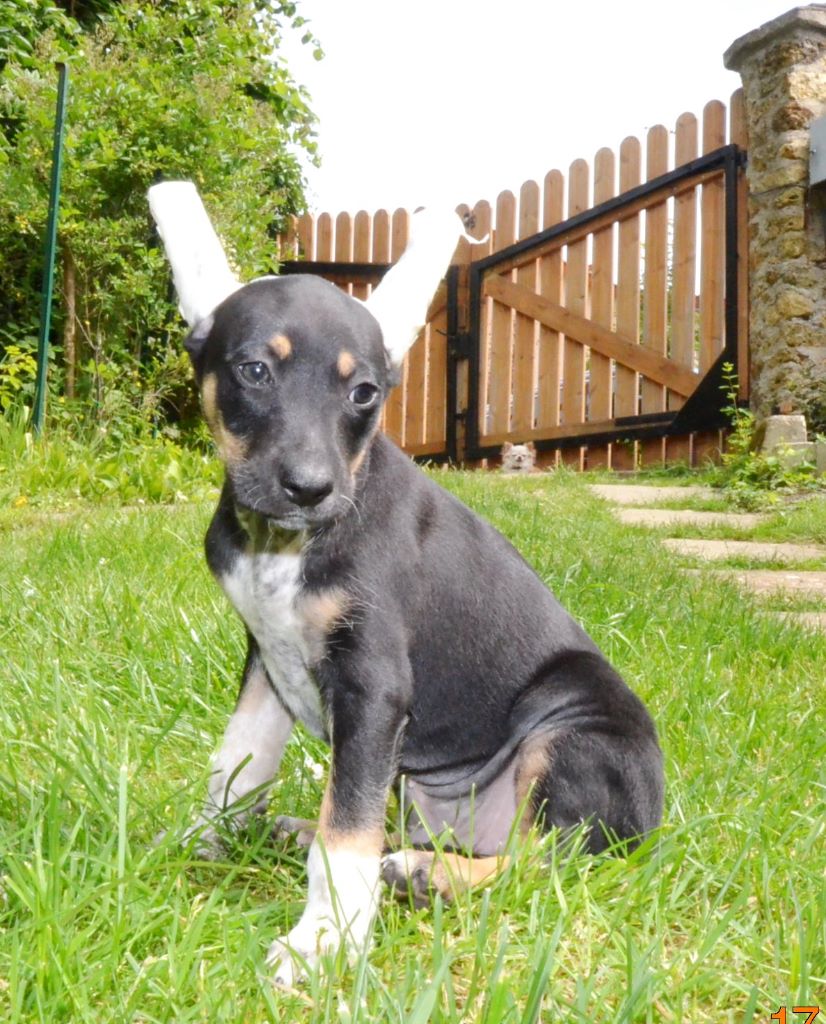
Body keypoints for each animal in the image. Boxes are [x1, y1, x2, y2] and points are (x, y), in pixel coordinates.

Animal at [149, 186, 663, 987]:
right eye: (254, 371)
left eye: (365, 392)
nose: (310, 490)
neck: (285, 546)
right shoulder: (266, 660)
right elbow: (236, 766)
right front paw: (200, 844)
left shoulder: (372, 681)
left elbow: (348, 829)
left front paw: (322, 939)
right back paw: (303, 832)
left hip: (569, 728)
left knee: (547, 862)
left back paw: (429, 874)